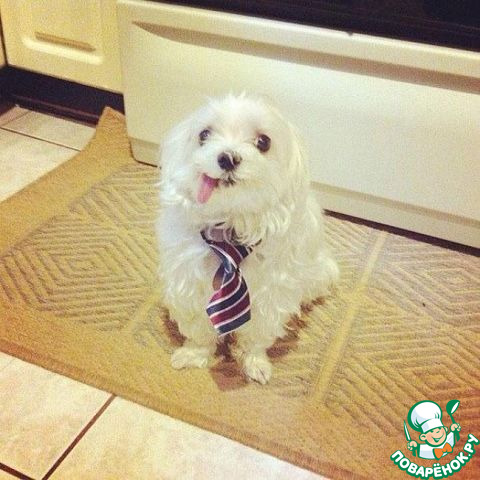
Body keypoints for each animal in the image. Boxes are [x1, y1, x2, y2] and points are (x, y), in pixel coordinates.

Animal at [156, 93, 338, 384]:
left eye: (263, 141)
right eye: (204, 134)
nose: (227, 158)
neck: (230, 226)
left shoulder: (268, 296)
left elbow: (255, 336)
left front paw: (254, 363)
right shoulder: (189, 285)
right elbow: (199, 330)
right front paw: (193, 354)